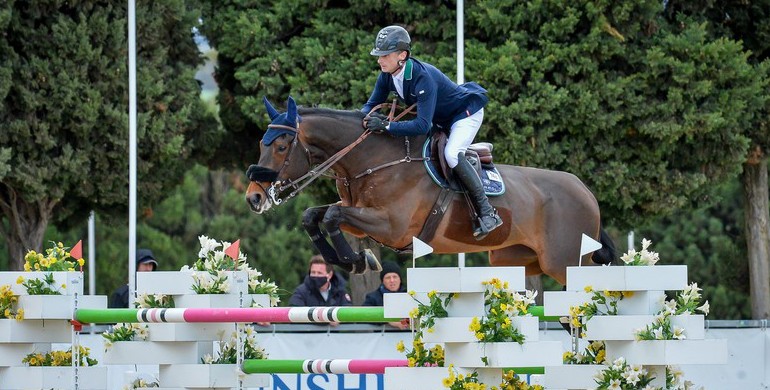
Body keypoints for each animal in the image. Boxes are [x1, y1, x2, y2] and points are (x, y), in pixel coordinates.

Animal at [246, 96, 612, 284]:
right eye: (262, 143)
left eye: (281, 146)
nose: (254, 197)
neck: (374, 159)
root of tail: (585, 191)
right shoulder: (360, 215)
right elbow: (315, 216)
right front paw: (355, 261)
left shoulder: (391, 226)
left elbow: (333, 215)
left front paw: (357, 260)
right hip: (517, 260)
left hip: (564, 262)